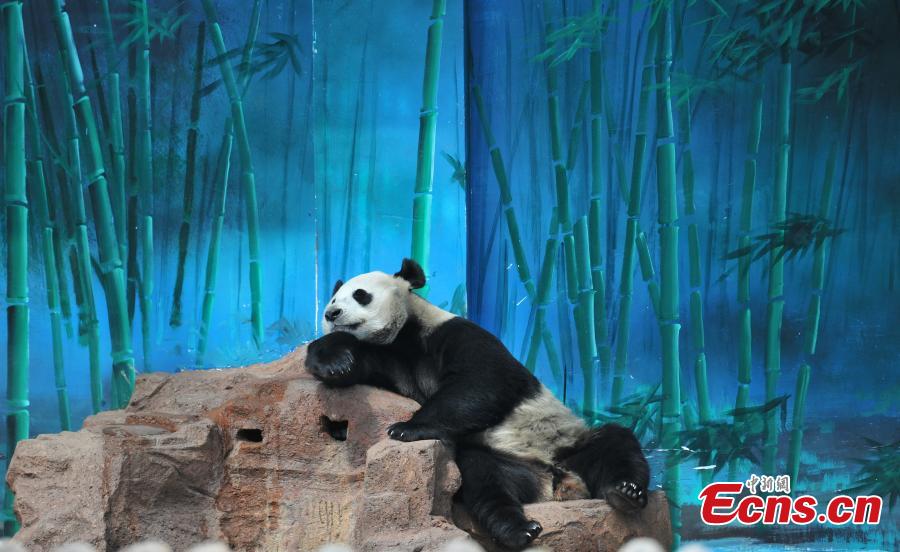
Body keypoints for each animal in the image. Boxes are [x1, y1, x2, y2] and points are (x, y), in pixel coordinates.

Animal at [305, 258, 650, 549]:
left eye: (360, 295)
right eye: (333, 299)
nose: (331, 314)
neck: (405, 335)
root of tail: (558, 483)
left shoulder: (455, 333)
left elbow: (484, 380)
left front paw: (406, 427)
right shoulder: (393, 361)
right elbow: (357, 363)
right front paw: (334, 363)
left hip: (566, 445)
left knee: (614, 442)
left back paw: (625, 492)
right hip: (504, 461)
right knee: (483, 479)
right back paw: (519, 530)